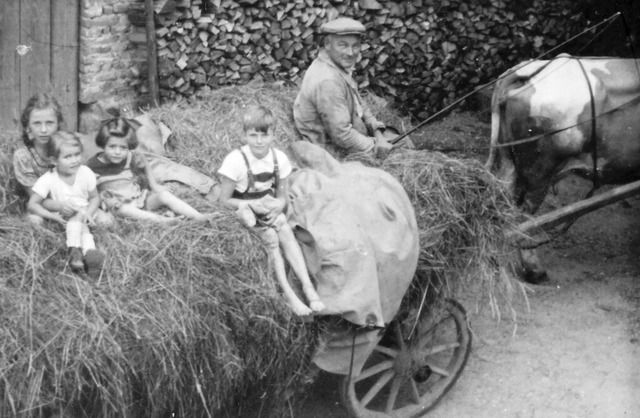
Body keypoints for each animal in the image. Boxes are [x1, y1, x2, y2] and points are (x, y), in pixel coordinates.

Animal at [484, 51, 640, 280]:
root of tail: (527, 70)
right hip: (539, 170)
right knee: (523, 217)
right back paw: (533, 268)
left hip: (509, 161)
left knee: (501, 203)